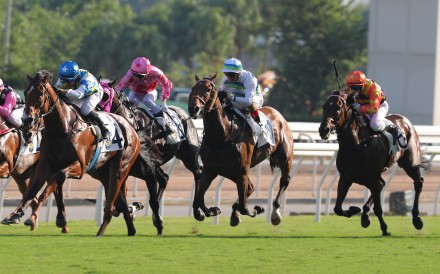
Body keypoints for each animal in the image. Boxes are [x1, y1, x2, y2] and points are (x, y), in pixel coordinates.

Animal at [1, 70, 145, 238]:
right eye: (25, 92)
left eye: (40, 93)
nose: (27, 120)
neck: (62, 128)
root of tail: (131, 127)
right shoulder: (45, 165)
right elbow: (32, 190)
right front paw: (15, 215)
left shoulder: (79, 166)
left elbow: (56, 178)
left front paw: (33, 217)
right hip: (101, 171)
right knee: (120, 198)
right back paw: (130, 228)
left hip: (120, 168)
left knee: (111, 202)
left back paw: (100, 231)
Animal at [187, 74, 294, 226]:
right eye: (193, 88)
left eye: (208, 89)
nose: (193, 109)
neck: (222, 135)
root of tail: (278, 115)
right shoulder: (210, 170)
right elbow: (198, 200)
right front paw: (211, 211)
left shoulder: (242, 170)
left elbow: (244, 206)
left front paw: (255, 209)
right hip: (232, 172)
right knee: (250, 187)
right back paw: (235, 214)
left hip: (284, 157)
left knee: (284, 180)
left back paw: (275, 213)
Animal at [318, 91, 428, 235]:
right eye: (324, 106)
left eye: (338, 108)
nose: (323, 130)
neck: (356, 145)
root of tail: (404, 120)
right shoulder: (346, 177)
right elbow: (337, 208)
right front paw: (354, 210)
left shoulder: (371, 177)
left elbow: (378, 208)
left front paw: (385, 229)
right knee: (382, 184)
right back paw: (365, 215)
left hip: (410, 164)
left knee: (418, 183)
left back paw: (417, 219)